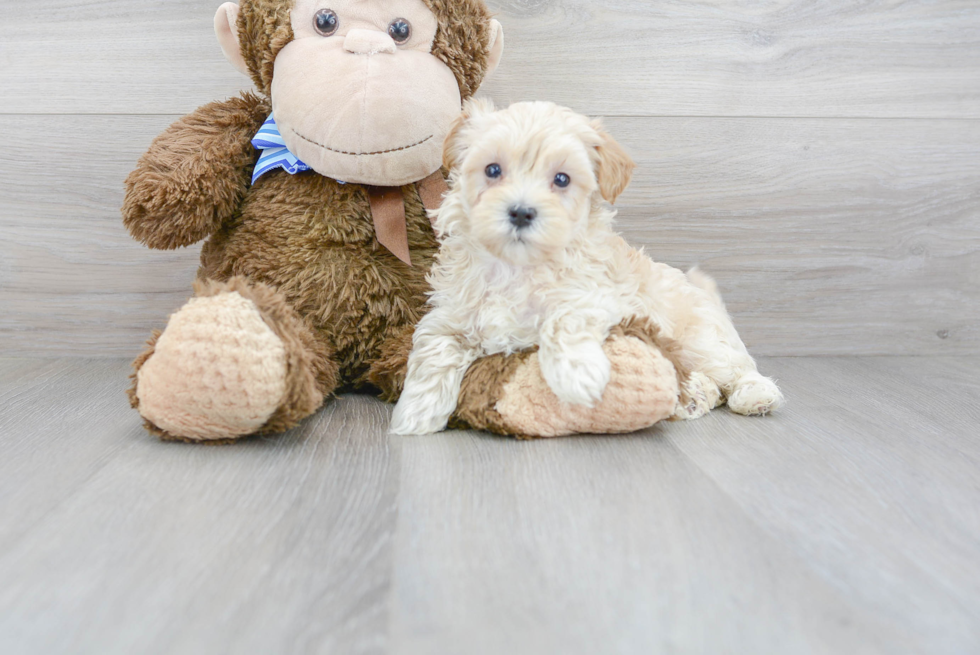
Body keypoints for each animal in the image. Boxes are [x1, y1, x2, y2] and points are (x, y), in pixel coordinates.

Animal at [390, 101, 780, 436]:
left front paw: (578, 377)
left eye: (562, 179)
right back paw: (693, 396)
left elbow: (564, 318)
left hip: (700, 340)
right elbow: (435, 349)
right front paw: (415, 413)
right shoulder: (450, 315)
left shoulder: (603, 298)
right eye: (492, 170)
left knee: (736, 367)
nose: (521, 212)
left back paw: (755, 394)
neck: (517, 268)